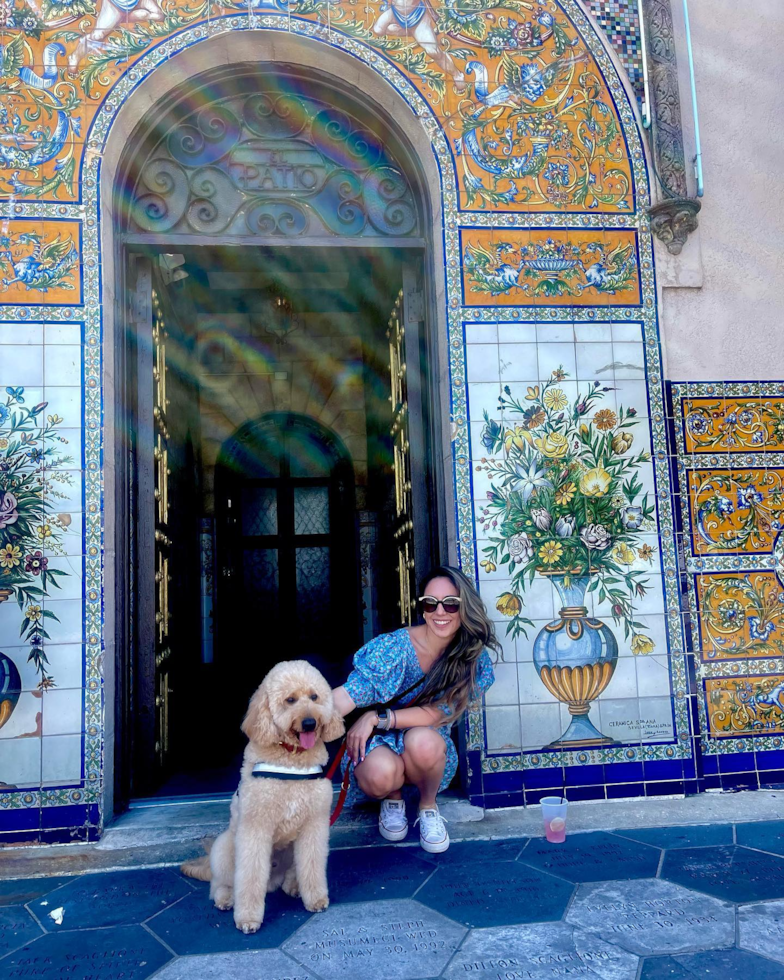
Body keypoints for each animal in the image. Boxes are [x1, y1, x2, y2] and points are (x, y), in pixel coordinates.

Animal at [184, 664, 346, 932]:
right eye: (290, 700)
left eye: (314, 697)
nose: (309, 723)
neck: (291, 757)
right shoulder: (255, 828)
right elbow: (249, 877)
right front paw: (248, 918)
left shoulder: (314, 825)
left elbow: (312, 865)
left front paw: (315, 899)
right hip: (225, 848)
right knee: (220, 884)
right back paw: (226, 898)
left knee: (291, 873)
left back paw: (292, 885)